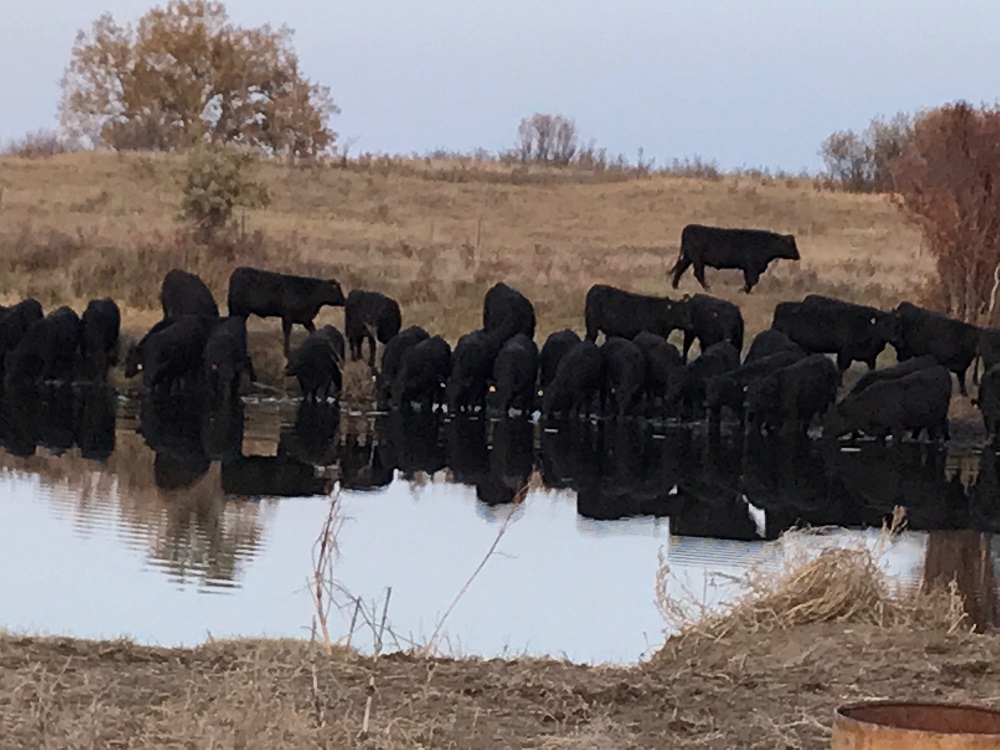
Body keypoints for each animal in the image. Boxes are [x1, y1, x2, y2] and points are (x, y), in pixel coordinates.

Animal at [668, 223, 800, 294]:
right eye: (791, 245)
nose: (798, 256)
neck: (766, 243)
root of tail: (689, 227)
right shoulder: (753, 267)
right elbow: (752, 280)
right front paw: (742, 290)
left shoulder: (749, 268)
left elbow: (750, 280)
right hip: (697, 260)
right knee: (698, 273)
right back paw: (708, 289)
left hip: (688, 258)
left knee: (680, 269)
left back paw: (675, 286)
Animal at [824, 366, 956, 444]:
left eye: (833, 420)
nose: (824, 434)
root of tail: (944, 370)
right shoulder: (880, 431)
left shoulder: (897, 426)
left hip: (941, 415)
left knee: (944, 425)